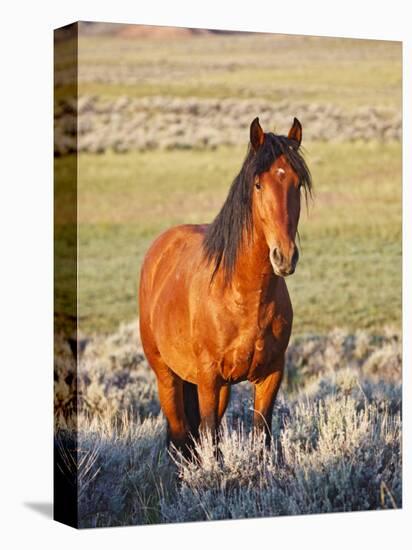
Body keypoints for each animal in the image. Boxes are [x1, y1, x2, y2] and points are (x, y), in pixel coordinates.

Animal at [138, 116, 312, 458]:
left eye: (297, 183)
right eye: (258, 184)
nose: (284, 256)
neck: (244, 296)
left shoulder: (270, 376)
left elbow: (261, 436)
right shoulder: (208, 379)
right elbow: (210, 440)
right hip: (168, 377)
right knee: (180, 436)